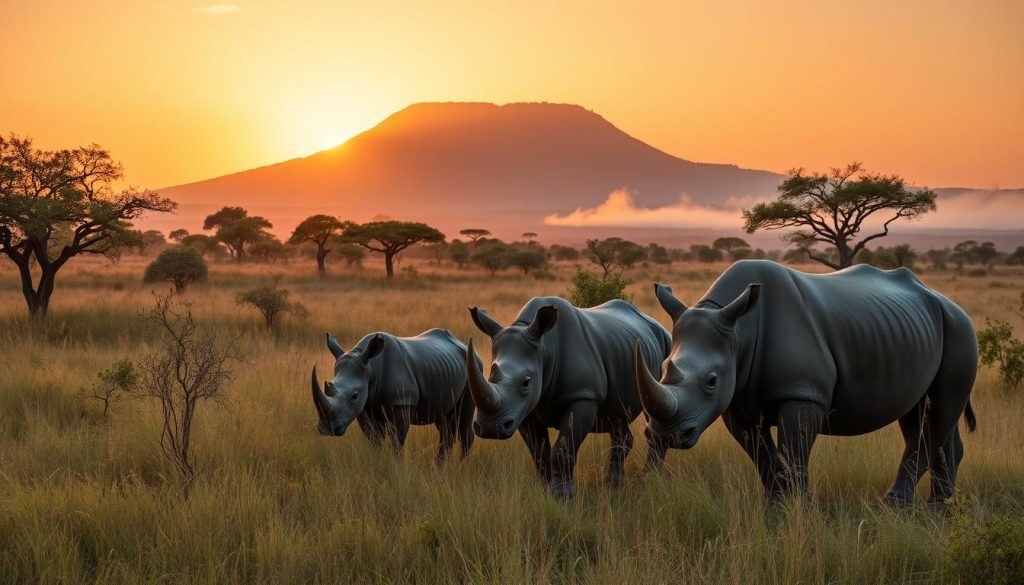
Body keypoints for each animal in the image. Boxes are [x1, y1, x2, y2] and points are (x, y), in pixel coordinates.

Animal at [311, 329, 480, 463]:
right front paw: (377, 462)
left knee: (464, 419)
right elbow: (375, 439)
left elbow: (397, 441)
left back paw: (461, 466)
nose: (327, 429)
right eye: (328, 388)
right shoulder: (366, 406)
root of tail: (464, 345)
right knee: (444, 423)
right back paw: (439, 467)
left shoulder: (400, 402)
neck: (370, 367)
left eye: (355, 396)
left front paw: (396, 466)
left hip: (473, 368)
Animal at [466, 297, 671, 498]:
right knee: (618, 418)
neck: (545, 348)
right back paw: (612, 484)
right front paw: (545, 489)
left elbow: (563, 447)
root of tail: (655, 323)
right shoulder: (522, 409)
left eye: (526, 382)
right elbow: (539, 450)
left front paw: (562, 494)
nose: (490, 428)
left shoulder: (583, 395)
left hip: (665, 347)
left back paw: (648, 479)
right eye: (489, 377)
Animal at [636, 260, 977, 504]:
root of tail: (949, 302)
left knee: (939, 408)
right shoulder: (736, 400)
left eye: (711, 381)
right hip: (919, 331)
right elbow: (759, 451)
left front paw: (799, 506)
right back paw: (942, 506)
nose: (666, 434)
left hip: (960, 331)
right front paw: (777, 502)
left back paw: (898, 505)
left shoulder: (802, 392)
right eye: (662, 369)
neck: (739, 330)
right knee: (921, 411)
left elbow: (794, 448)